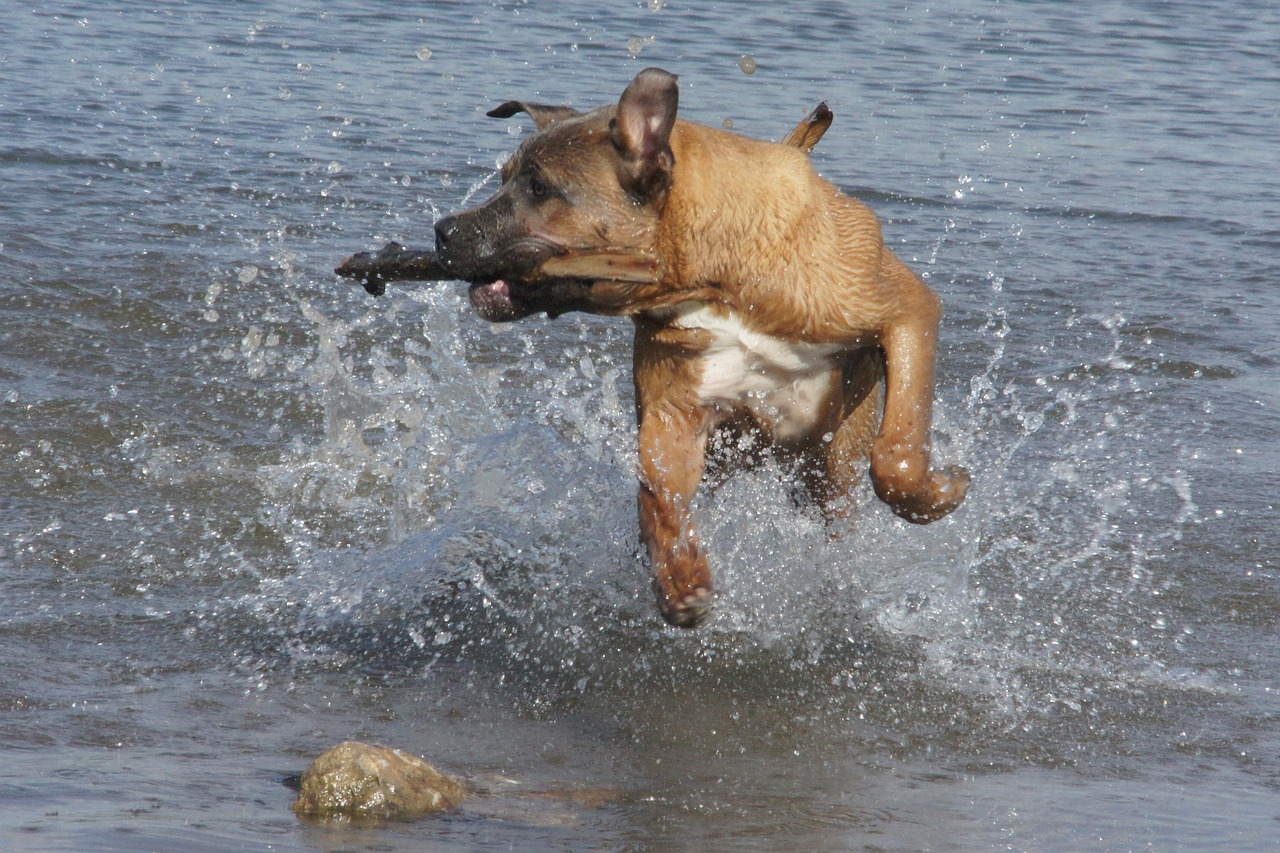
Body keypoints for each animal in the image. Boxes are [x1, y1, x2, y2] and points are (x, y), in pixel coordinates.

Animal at [435, 68, 962, 625]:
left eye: (540, 188)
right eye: (503, 177)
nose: (442, 231)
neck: (714, 278)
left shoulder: (908, 311)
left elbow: (897, 453)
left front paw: (940, 493)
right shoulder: (674, 414)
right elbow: (660, 496)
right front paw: (680, 578)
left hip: (832, 460)